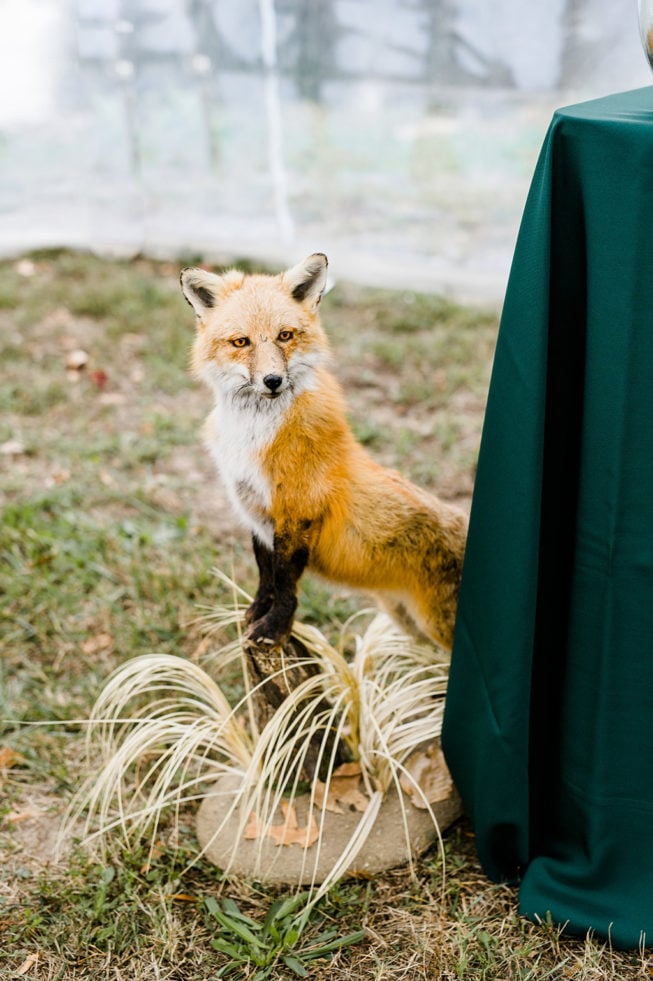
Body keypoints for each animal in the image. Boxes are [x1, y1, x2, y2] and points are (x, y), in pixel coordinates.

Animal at [181, 253, 466, 652]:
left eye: (285, 335)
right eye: (241, 342)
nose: (273, 381)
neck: (252, 438)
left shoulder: (298, 513)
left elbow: (286, 585)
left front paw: (274, 629)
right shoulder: (257, 514)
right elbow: (266, 576)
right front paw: (255, 614)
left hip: (436, 627)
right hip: (410, 624)